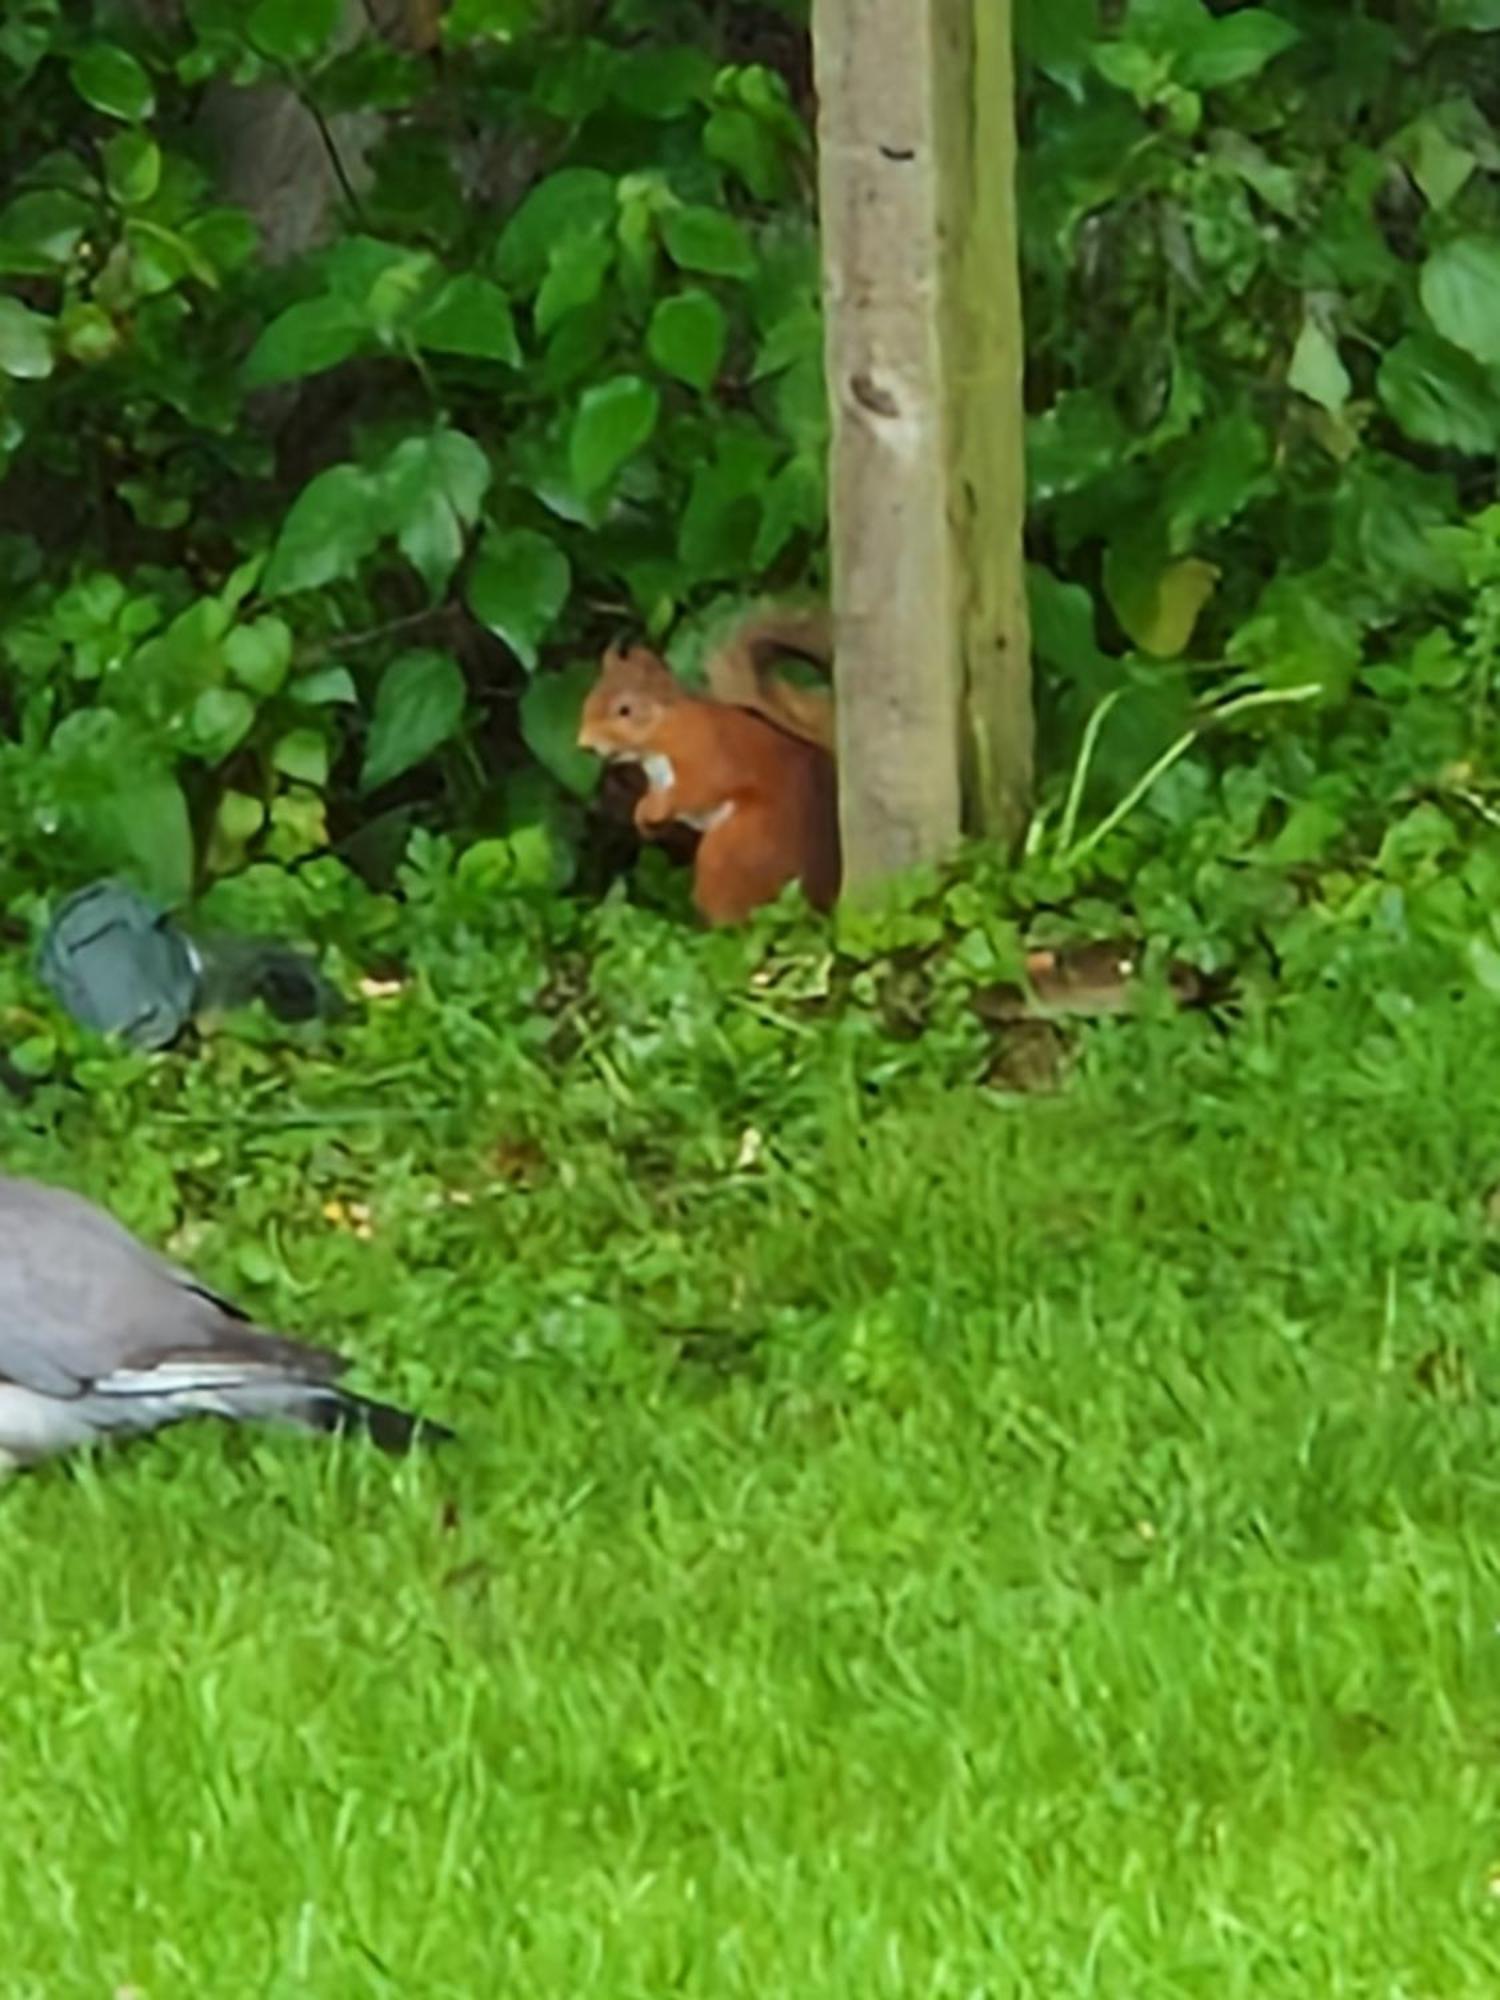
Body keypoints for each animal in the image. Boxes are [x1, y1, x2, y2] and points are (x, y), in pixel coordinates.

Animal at [576, 608, 840, 928]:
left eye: (625, 710)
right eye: (589, 698)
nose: (585, 745)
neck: (660, 737)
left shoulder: (707, 753)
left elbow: (700, 788)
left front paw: (655, 809)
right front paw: (643, 815)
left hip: (733, 850)